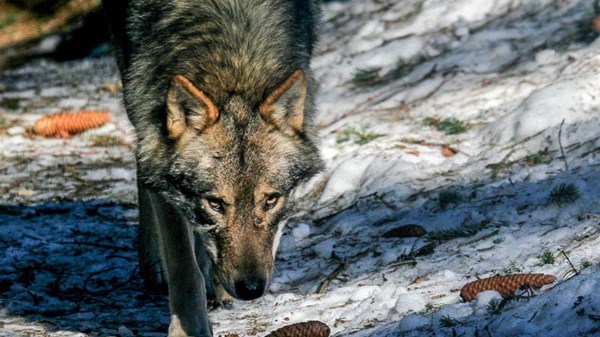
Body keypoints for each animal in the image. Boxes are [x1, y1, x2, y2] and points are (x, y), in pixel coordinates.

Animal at [101, 0, 324, 336]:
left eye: (271, 200)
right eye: (215, 203)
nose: (251, 289)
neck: (232, 64)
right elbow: (184, 270)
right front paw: (189, 330)